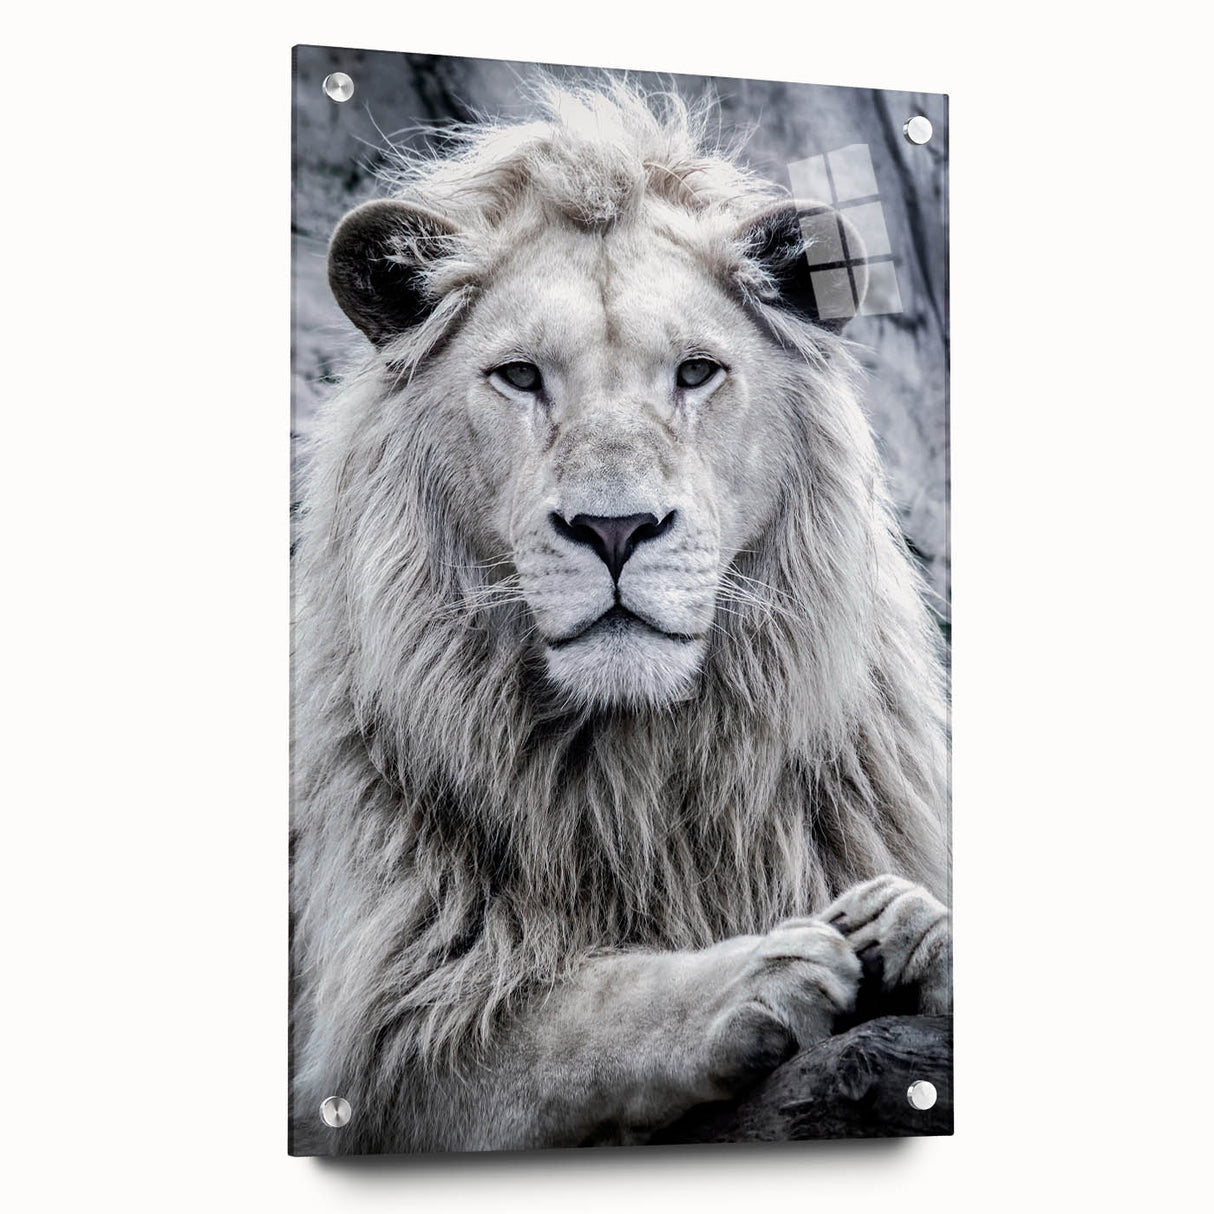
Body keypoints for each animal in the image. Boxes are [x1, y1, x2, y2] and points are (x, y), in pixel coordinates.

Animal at [291, 81, 951, 1155]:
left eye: (696, 372)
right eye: (520, 376)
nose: (614, 529)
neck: (636, 773)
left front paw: (916, 926)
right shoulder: (387, 1047)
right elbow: (578, 1013)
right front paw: (758, 973)